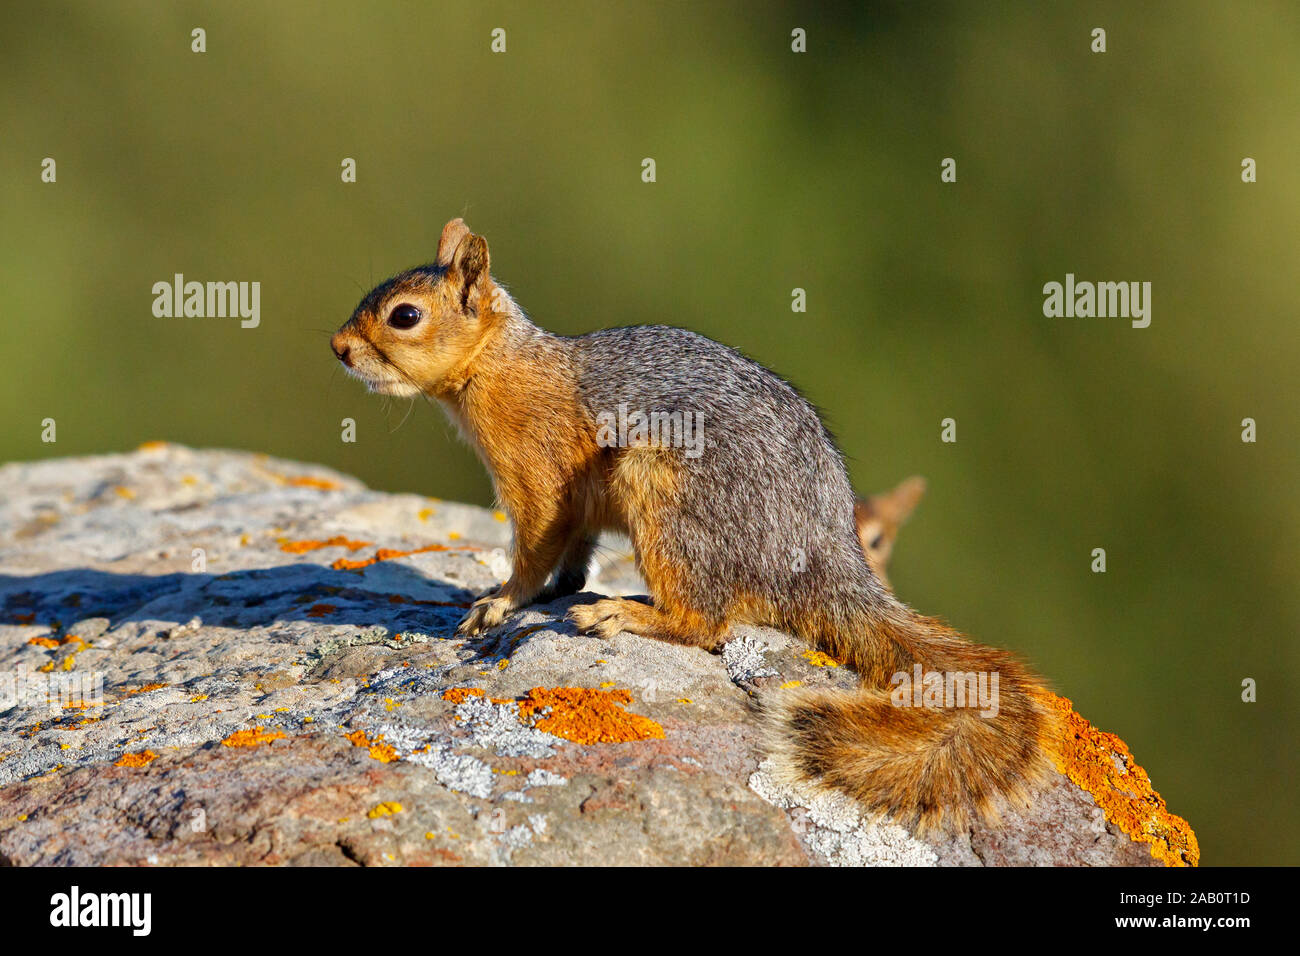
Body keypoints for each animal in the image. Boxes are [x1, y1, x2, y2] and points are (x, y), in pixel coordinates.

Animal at [330, 217, 1060, 832]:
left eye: (404, 316)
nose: (337, 348)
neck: (500, 366)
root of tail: (824, 561)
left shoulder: (537, 474)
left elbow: (535, 548)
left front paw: (499, 602)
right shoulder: (577, 506)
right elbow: (574, 551)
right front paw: (547, 589)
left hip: (665, 493)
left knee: (706, 623)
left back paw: (624, 614)